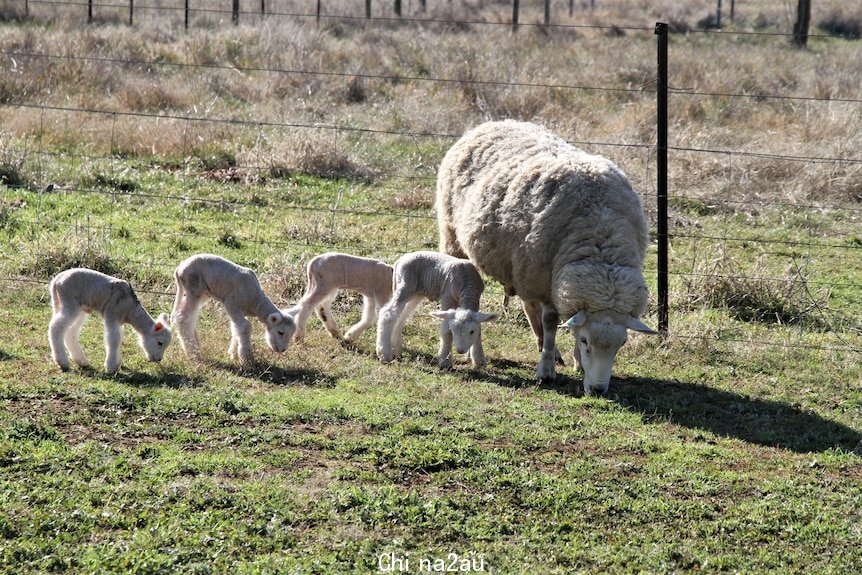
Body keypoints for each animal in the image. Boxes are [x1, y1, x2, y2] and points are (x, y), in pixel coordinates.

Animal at [436, 121, 660, 396]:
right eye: (585, 340)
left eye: (623, 343)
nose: (598, 390)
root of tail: (494, 122)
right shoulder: (544, 279)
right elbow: (552, 322)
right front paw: (546, 370)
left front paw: (575, 361)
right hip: (458, 239)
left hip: (523, 267)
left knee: (529, 307)